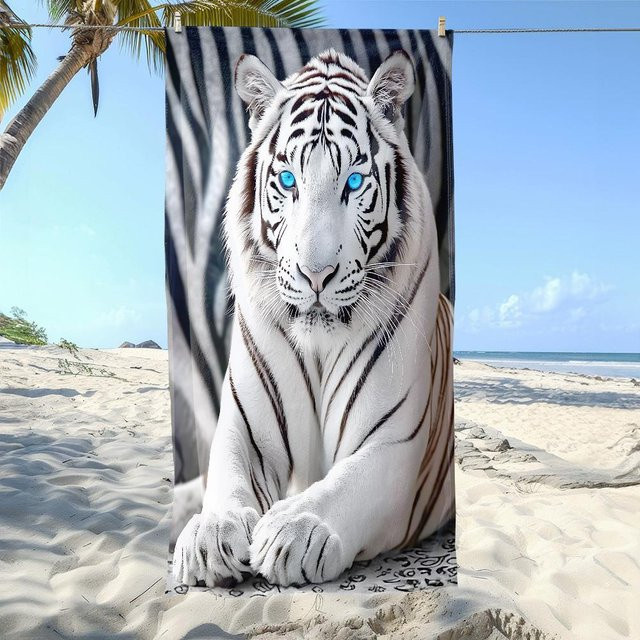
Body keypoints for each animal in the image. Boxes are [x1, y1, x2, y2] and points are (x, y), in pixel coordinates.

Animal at [172, 48, 454, 588]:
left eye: (354, 182)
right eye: (288, 181)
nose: (316, 273)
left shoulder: (393, 441)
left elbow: (345, 485)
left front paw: (295, 529)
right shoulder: (245, 430)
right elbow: (227, 477)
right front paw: (212, 532)